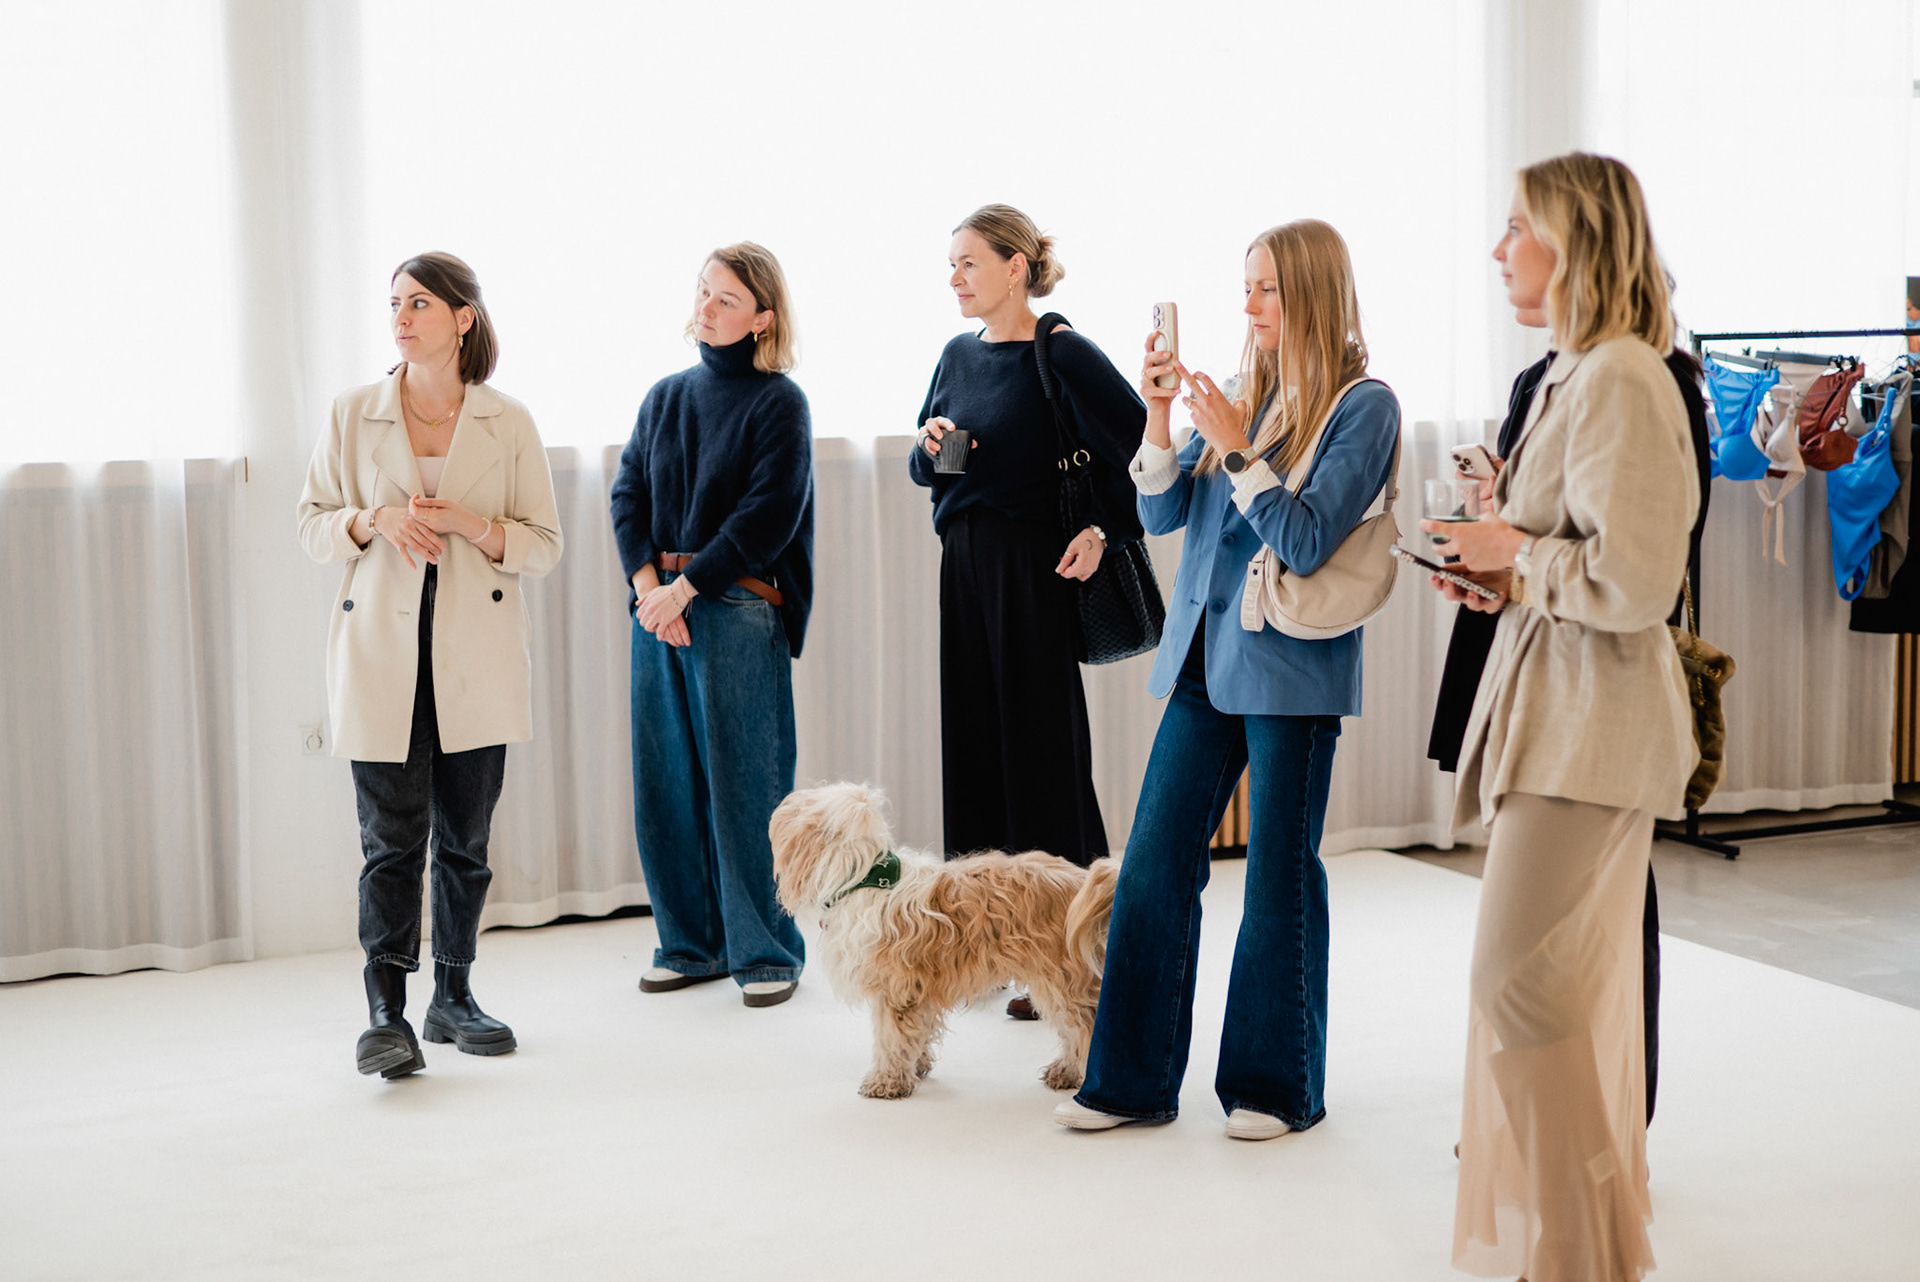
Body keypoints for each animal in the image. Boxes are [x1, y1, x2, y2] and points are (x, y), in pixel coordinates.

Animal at [769, 782, 1119, 1100]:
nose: (776, 812)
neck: (865, 878)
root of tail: (1082, 881)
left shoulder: (896, 990)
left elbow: (891, 1038)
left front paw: (886, 1082)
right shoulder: (918, 991)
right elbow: (917, 1033)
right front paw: (917, 1065)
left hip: (1062, 980)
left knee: (1085, 1027)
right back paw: (1066, 1072)